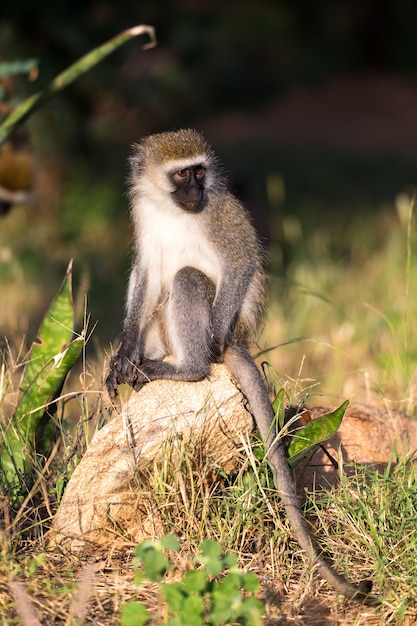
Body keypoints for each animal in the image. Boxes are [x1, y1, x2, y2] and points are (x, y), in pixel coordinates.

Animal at [105, 127, 372, 600]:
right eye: (181, 175)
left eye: (199, 172)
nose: (196, 192)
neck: (173, 210)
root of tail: (241, 337)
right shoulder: (145, 215)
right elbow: (145, 274)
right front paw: (123, 352)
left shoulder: (220, 214)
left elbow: (240, 260)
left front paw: (202, 342)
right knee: (163, 290)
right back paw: (143, 368)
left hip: (231, 325)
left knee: (187, 281)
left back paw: (189, 365)